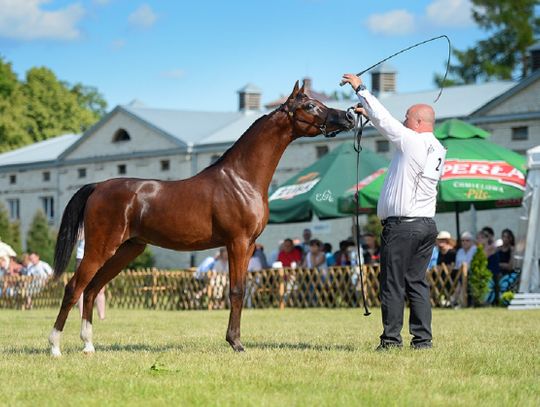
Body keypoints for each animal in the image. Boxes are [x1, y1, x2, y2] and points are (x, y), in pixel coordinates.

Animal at [48, 82, 354, 356]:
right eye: (310, 106)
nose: (349, 117)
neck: (241, 178)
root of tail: (98, 186)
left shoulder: (249, 246)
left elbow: (241, 289)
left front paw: (235, 340)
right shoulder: (237, 242)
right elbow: (236, 290)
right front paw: (236, 343)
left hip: (126, 250)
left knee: (91, 289)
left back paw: (88, 346)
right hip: (100, 248)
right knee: (74, 287)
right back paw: (55, 347)